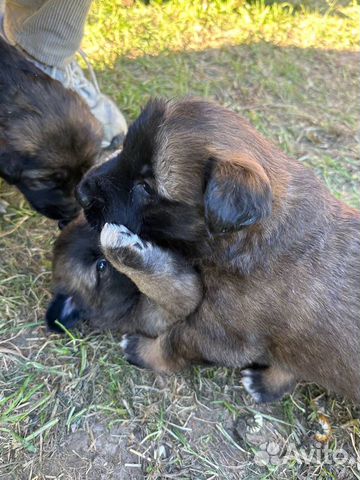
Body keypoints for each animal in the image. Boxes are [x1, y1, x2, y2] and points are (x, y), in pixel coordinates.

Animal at [78, 99, 360, 404]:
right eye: (124, 152)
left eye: (146, 187)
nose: (80, 193)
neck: (252, 236)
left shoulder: (218, 333)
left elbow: (173, 342)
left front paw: (142, 350)